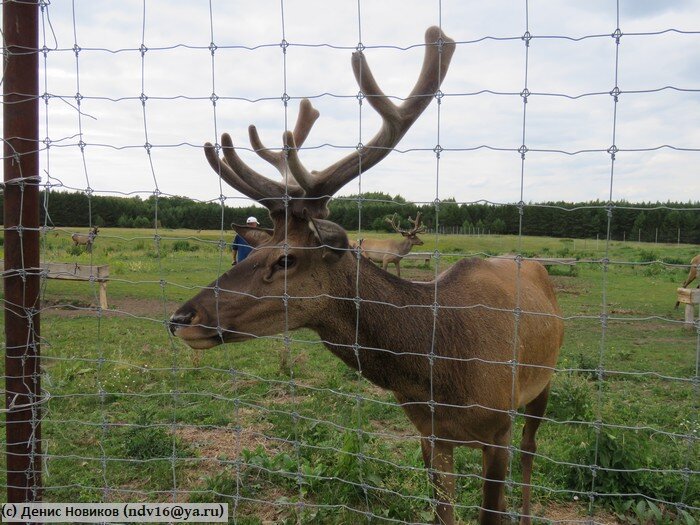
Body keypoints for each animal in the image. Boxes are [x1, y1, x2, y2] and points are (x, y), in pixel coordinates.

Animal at [168, 28, 564, 524]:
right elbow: (444, 512)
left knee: (532, 449)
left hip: (544, 381)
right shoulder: (430, 434)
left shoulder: (499, 429)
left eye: (286, 260)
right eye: (253, 250)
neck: (441, 371)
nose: (181, 318)